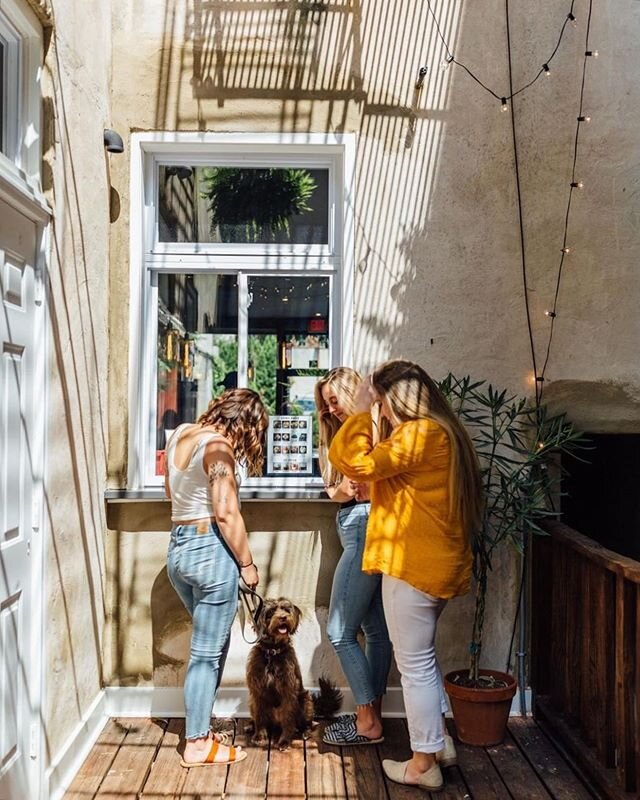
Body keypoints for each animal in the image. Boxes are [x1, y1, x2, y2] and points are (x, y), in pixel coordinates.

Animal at [246, 592, 344, 752]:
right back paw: (251, 725)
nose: (283, 618)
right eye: (271, 611)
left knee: (307, 723)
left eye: (286, 609)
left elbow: (288, 718)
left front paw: (284, 741)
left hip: (305, 701)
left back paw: (305, 732)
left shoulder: (288, 691)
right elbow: (260, 715)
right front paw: (259, 735)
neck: (272, 652)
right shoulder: (257, 691)